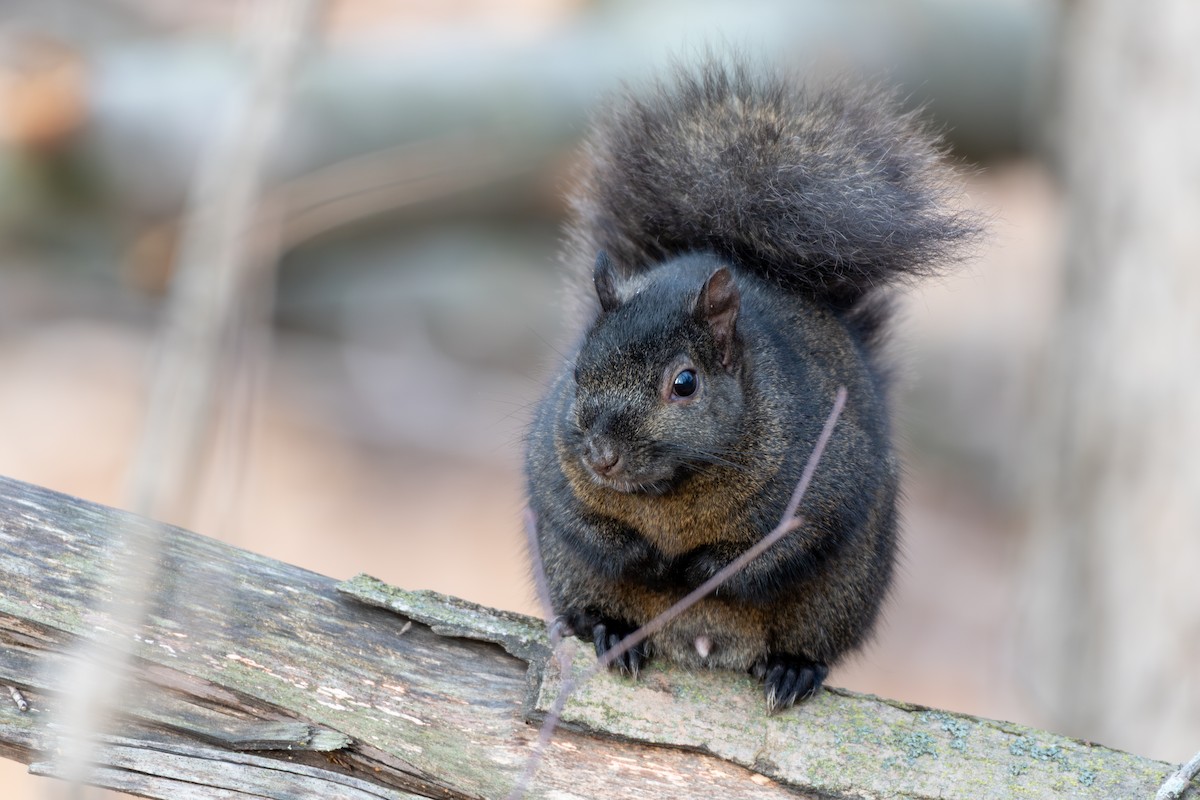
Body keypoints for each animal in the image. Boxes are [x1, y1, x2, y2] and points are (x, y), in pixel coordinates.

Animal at [524, 59, 978, 712]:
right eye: (578, 371)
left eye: (684, 383)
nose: (601, 457)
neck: (671, 492)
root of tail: (703, 645)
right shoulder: (553, 462)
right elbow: (580, 518)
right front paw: (645, 560)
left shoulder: (824, 477)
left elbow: (780, 546)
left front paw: (697, 571)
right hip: (570, 573)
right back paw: (614, 631)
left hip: (836, 596)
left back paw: (792, 669)